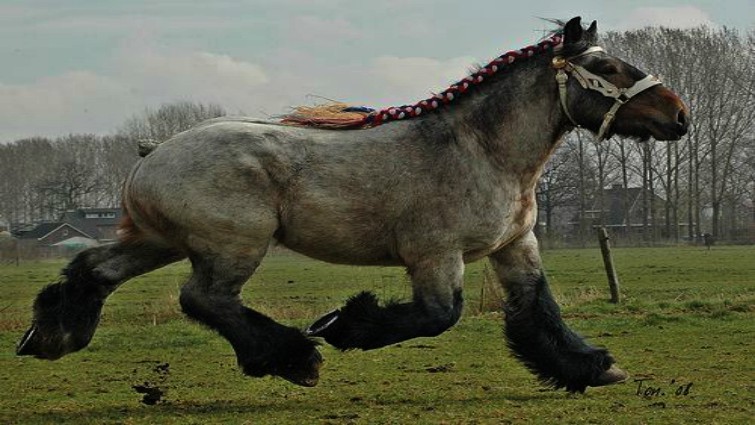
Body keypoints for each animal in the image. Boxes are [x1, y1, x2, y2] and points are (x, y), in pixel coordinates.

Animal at [17, 17, 688, 393]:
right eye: (606, 66)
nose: (679, 116)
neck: (484, 151)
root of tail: (150, 154)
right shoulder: (435, 255)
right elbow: (437, 316)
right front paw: (342, 325)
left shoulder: (514, 246)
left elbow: (538, 311)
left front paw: (592, 368)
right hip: (231, 245)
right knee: (204, 299)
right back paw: (292, 358)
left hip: (159, 240)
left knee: (94, 269)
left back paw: (50, 335)